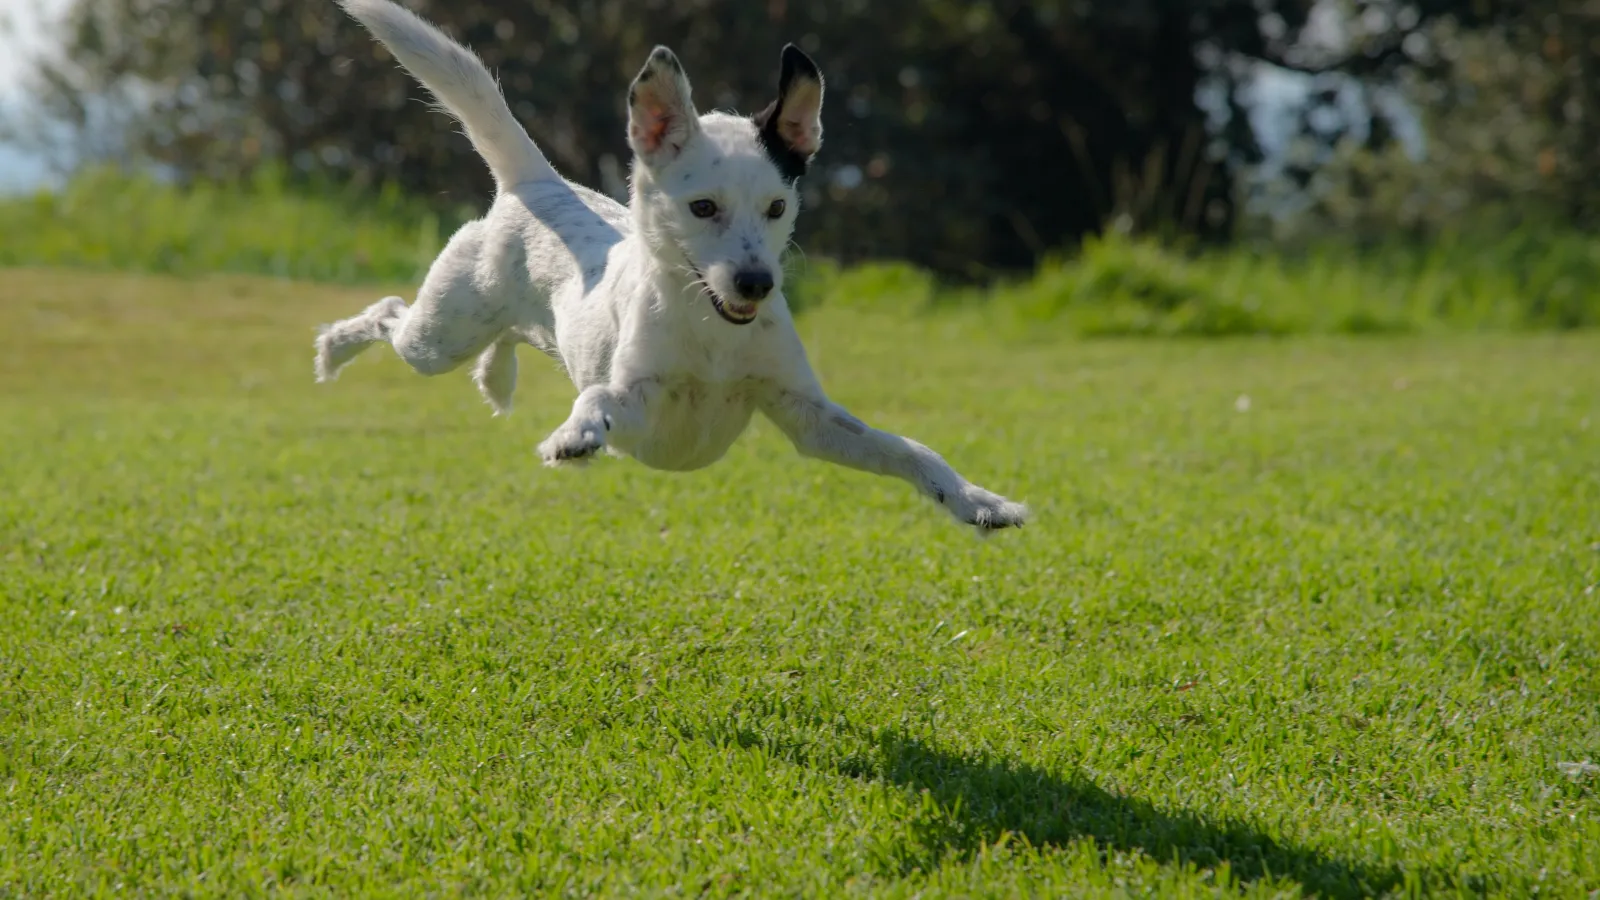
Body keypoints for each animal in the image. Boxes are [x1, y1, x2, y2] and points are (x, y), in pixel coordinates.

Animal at [318, 0, 1030, 531]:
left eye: (778, 207)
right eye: (703, 206)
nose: (756, 283)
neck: (712, 333)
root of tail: (538, 183)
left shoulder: (808, 418)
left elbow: (909, 449)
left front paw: (977, 500)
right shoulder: (640, 406)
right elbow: (598, 398)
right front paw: (575, 433)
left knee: (504, 338)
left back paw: (496, 376)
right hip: (439, 335)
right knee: (390, 314)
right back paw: (334, 350)